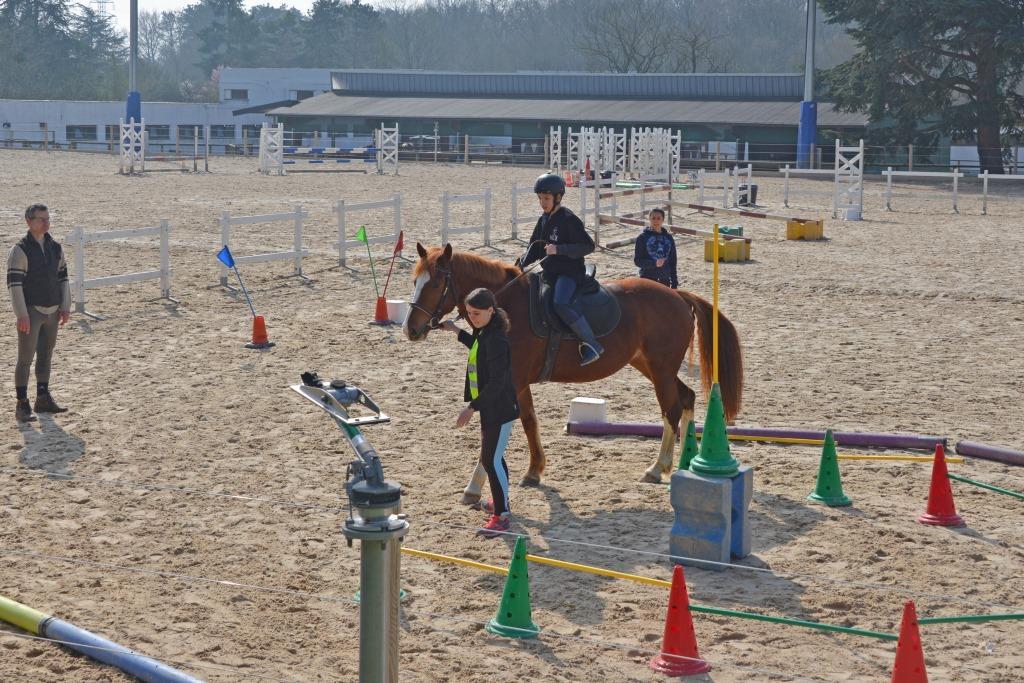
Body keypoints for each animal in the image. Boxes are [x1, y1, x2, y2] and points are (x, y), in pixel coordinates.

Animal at [403, 243, 743, 499]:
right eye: (415, 281)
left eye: (435, 283)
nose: (411, 329)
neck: (505, 306)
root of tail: (677, 295)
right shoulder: (518, 384)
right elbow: (529, 422)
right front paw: (534, 470)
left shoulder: (510, 381)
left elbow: (499, 427)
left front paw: (474, 487)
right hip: (651, 366)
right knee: (686, 398)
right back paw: (684, 461)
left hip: (660, 369)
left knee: (671, 409)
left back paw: (657, 467)